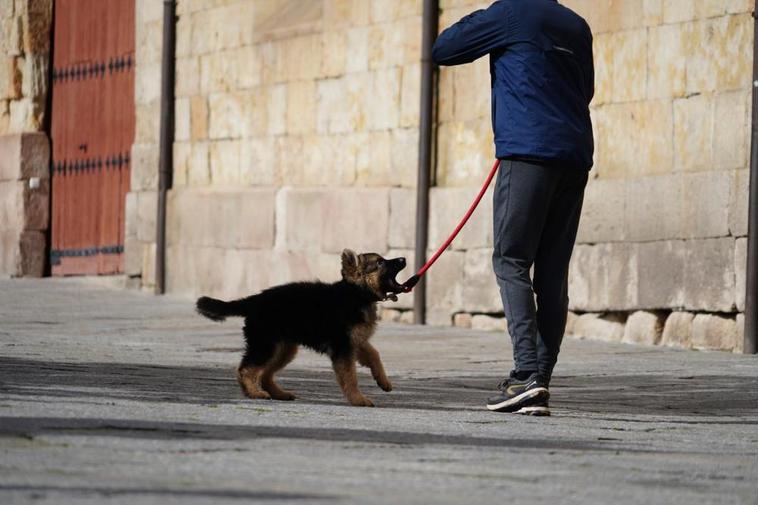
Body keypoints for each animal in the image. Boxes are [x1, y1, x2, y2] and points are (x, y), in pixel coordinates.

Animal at [197, 248, 410, 406]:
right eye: (380, 263)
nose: (404, 258)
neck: (357, 294)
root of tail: (255, 300)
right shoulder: (343, 347)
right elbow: (350, 376)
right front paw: (358, 399)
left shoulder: (356, 342)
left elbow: (374, 355)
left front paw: (383, 381)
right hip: (266, 345)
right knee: (246, 369)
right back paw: (254, 393)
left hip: (283, 348)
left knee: (265, 374)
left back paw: (279, 394)